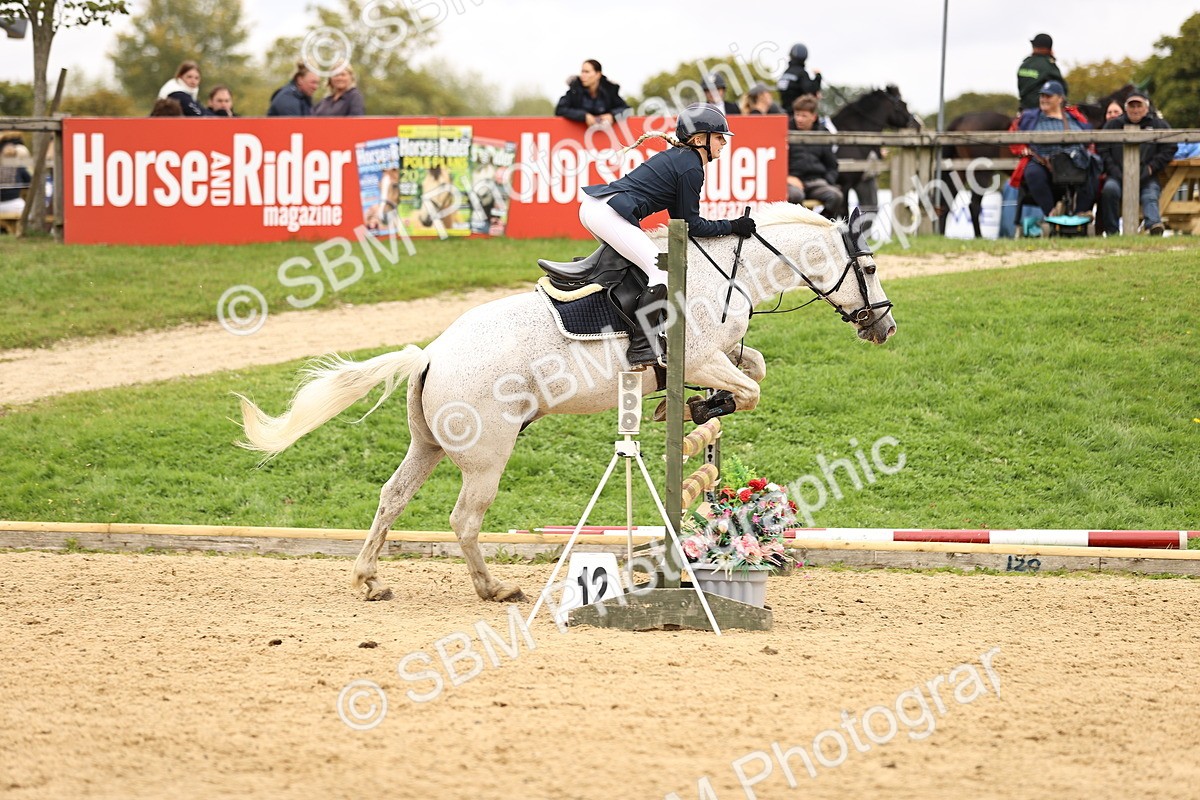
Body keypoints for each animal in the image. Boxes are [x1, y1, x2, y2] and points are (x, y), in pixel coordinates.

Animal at [234, 203, 896, 603]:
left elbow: (752, 371)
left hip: (428, 445)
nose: (884, 329)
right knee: (464, 518)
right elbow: (749, 387)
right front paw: (694, 410)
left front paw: (691, 409)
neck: (726, 270)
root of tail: (431, 354)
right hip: (487, 455)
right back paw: (494, 589)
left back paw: (368, 580)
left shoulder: (720, 355)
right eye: (867, 266)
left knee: (392, 497)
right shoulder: (703, 355)